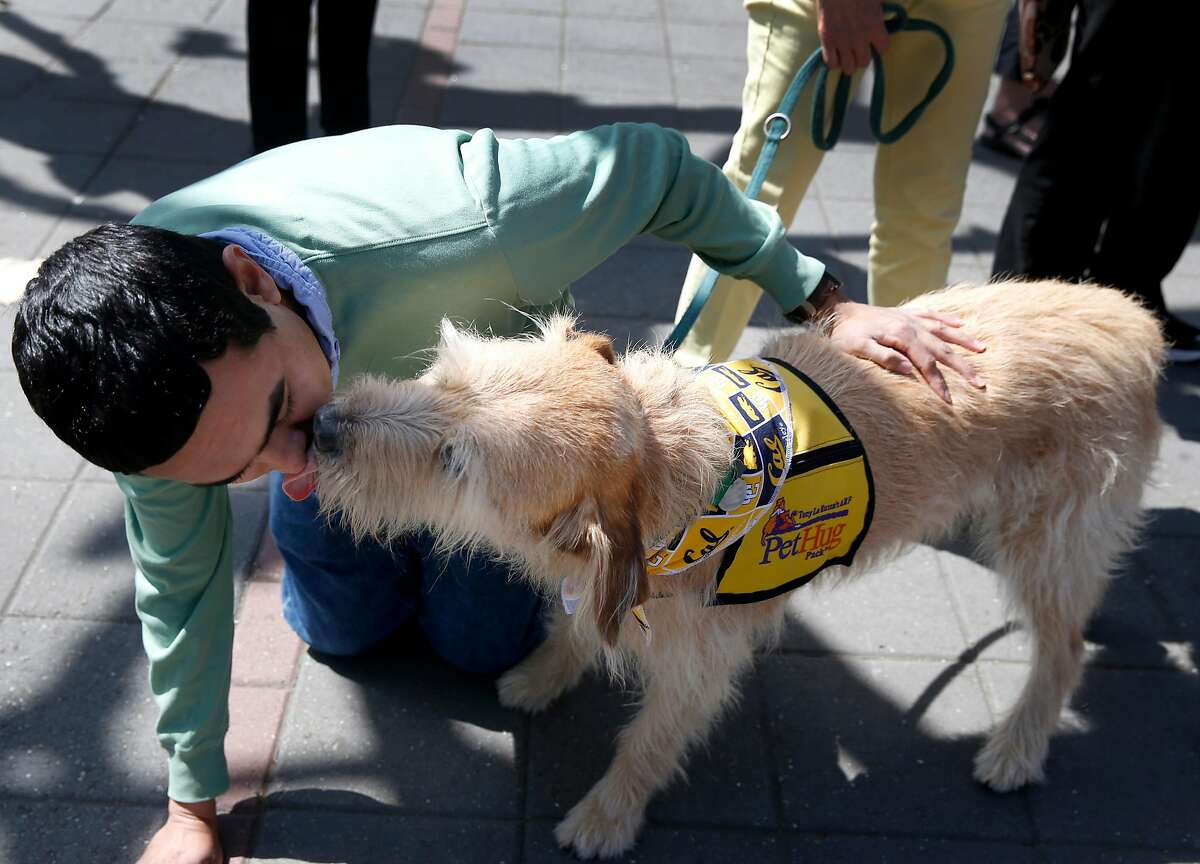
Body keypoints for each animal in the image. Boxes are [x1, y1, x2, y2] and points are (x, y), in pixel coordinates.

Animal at [309, 282, 1161, 859]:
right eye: (440, 378)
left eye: (454, 463)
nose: (321, 426)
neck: (664, 472)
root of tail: (1138, 321)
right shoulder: (604, 578)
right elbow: (579, 627)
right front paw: (543, 675)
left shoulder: (700, 663)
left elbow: (648, 741)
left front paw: (606, 817)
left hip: (1046, 542)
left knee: (1064, 646)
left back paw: (1016, 749)